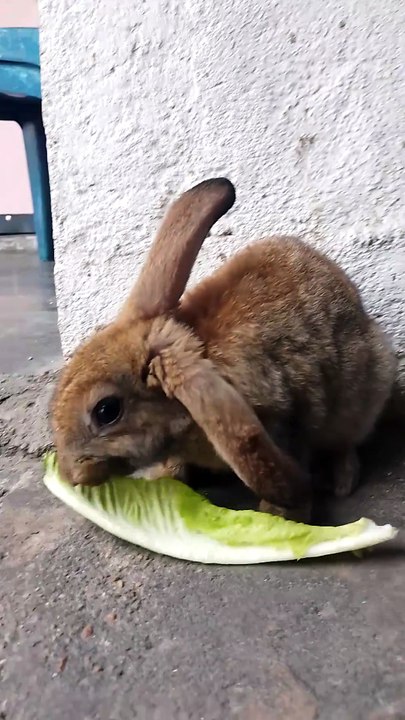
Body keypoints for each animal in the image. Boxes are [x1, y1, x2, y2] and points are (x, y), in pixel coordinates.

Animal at [51, 178, 396, 521]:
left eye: (106, 411)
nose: (72, 475)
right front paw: (167, 475)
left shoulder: (285, 416)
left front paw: (279, 514)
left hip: (362, 395)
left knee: (345, 440)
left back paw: (342, 480)